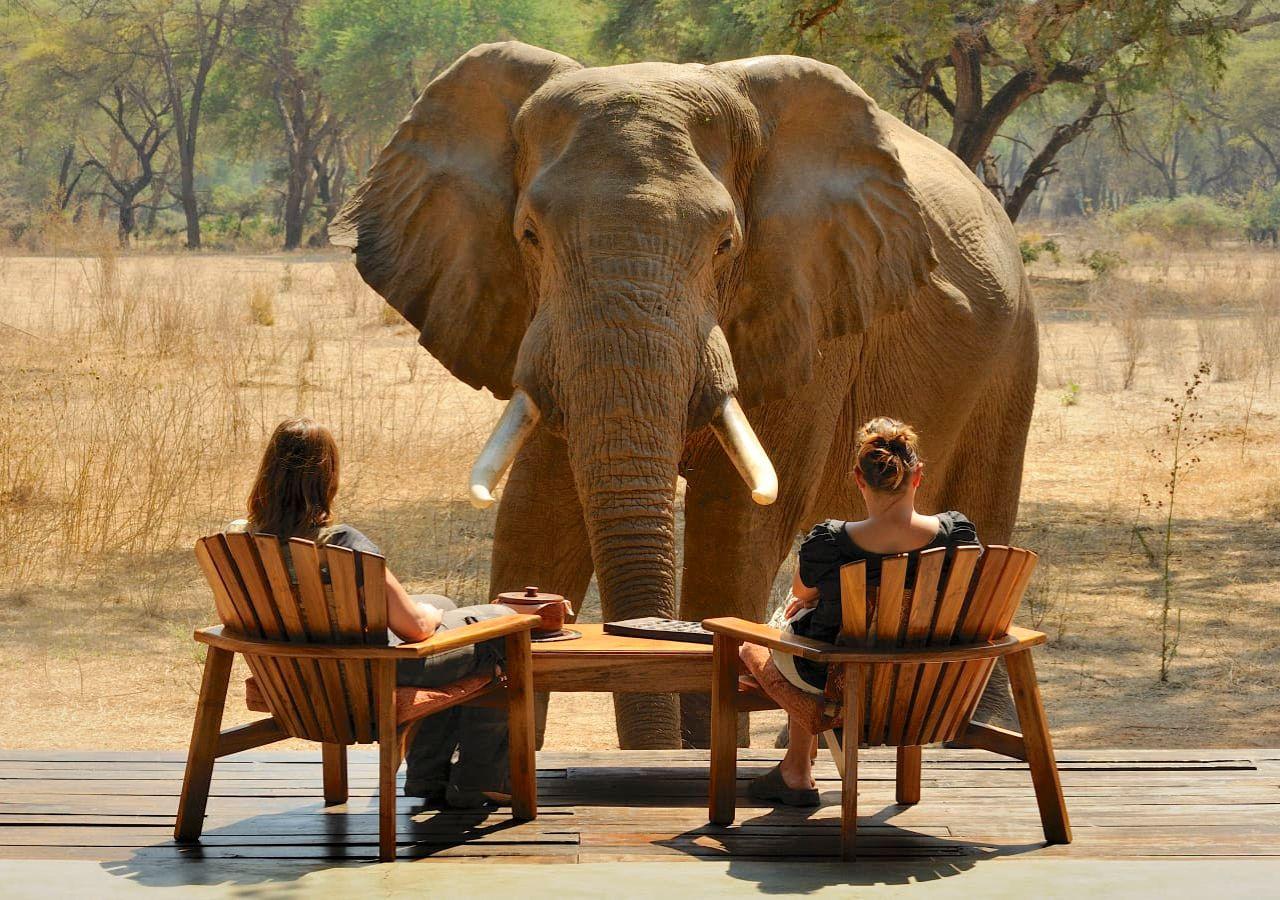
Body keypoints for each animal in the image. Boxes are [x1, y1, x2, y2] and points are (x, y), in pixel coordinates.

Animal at [332, 41, 1037, 750]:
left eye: (725, 244)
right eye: (529, 234)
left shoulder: (806, 306)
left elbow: (737, 524)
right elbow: (539, 510)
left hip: (1013, 353)